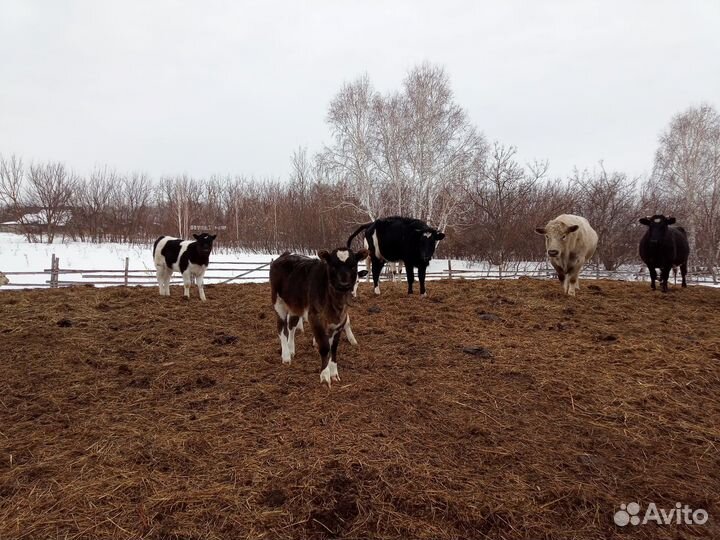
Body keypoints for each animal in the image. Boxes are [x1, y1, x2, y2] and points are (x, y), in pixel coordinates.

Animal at [270, 247, 368, 387]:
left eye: (353, 265)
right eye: (333, 266)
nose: (344, 284)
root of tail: (285, 255)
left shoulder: (339, 322)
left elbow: (333, 348)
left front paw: (334, 374)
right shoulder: (315, 319)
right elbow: (325, 348)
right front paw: (325, 376)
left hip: (295, 306)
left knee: (292, 326)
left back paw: (291, 349)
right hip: (278, 302)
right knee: (281, 328)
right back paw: (286, 356)